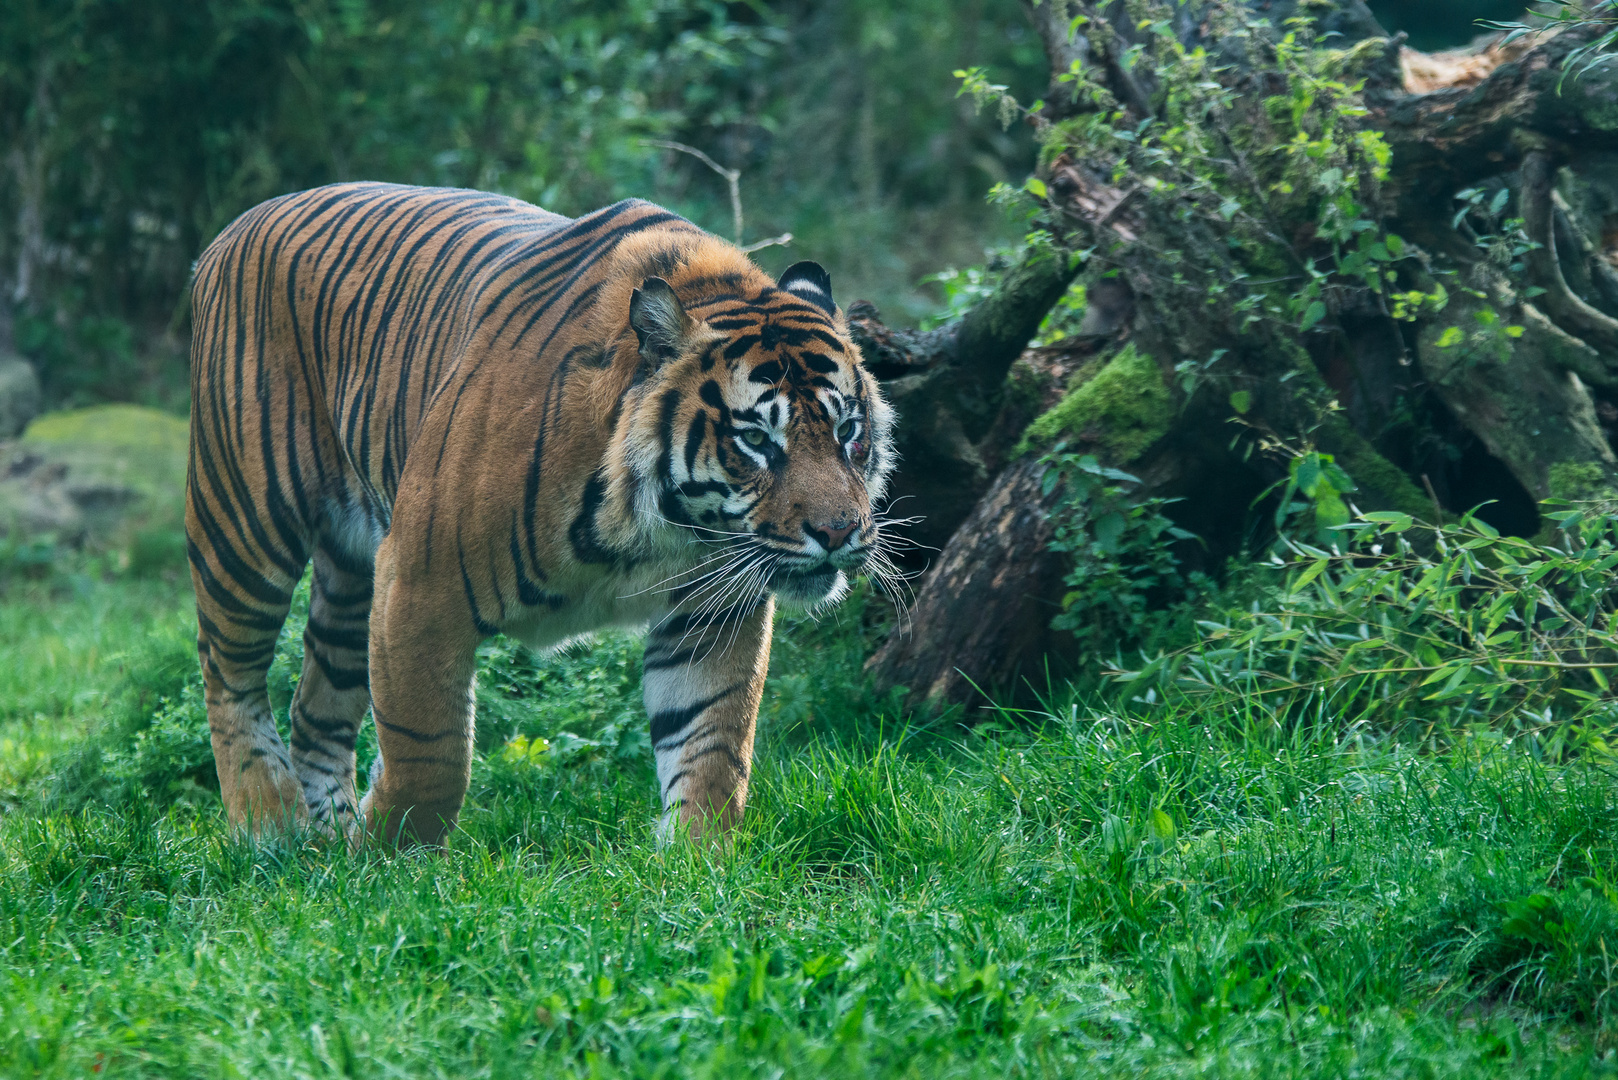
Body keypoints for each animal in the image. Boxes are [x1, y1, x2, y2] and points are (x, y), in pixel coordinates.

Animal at [189, 181, 906, 848]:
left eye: (848, 430)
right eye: (756, 440)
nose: (838, 532)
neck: (657, 532)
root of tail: (237, 227)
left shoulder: (711, 609)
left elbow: (712, 740)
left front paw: (699, 859)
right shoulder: (418, 582)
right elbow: (429, 748)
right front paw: (387, 858)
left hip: (348, 574)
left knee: (314, 705)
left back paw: (326, 836)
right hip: (243, 526)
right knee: (228, 674)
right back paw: (268, 823)